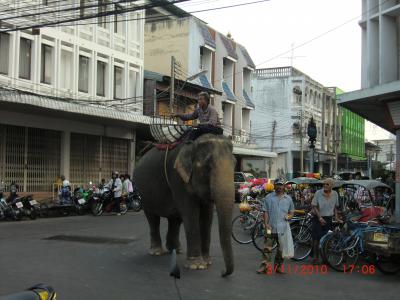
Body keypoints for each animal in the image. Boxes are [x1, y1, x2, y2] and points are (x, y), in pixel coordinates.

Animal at [133, 134, 236, 276]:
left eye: (235, 164)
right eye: (207, 166)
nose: (223, 272)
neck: (193, 144)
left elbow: (207, 216)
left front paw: (207, 262)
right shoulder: (177, 177)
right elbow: (190, 212)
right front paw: (196, 266)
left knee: (175, 220)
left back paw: (176, 250)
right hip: (144, 193)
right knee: (153, 218)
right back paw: (157, 252)